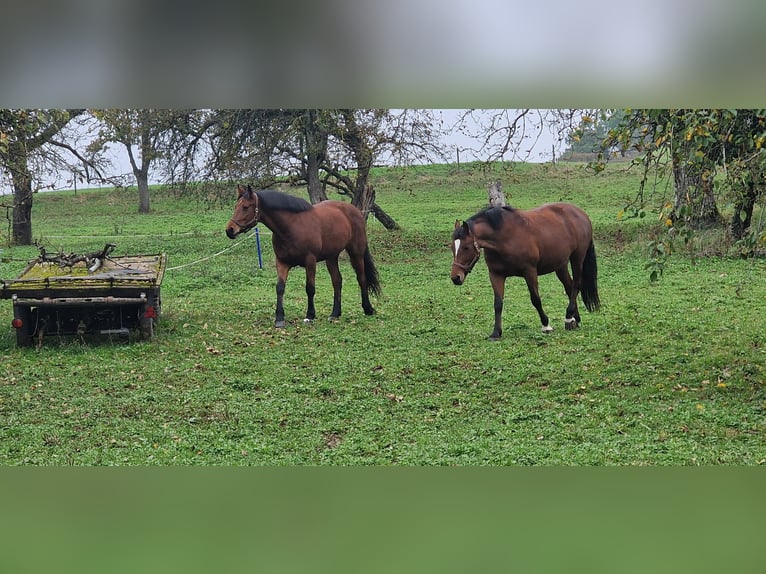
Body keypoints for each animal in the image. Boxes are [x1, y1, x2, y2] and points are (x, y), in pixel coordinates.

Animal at [228, 184, 384, 328]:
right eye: (236, 206)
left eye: (246, 207)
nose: (229, 230)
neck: (291, 227)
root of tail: (355, 211)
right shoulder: (282, 262)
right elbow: (280, 288)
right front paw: (279, 318)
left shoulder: (310, 261)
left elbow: (310, 288)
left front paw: (310, 315)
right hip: (331, 257)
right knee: (337, 281)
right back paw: (335, 313)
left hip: (356, 253)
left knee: (361, 279)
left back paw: (368, 309)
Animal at [452, 202, 604, 340]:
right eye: (452, 247)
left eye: (466, 247)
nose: (455, 277)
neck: (504, 237)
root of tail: (580, 213)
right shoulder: (496, 275)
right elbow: (498, 303)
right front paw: (496, 332)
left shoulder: (529, 271)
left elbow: (535, 299)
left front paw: (546, 325)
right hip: (560, 265)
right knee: (569, 287)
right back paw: (574, 319)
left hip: (577, 258)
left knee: (576, 285)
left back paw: (568, 317)